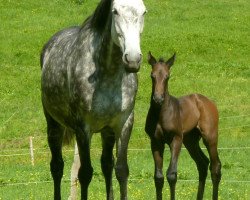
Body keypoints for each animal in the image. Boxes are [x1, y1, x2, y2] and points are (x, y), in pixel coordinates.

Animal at [40, 0, 146, 200]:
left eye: (144, 12)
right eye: (115, 11)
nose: (133, 59)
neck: (108, 73)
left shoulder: (124, 123)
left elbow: (121, 170)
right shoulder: (83, 129)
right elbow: (85, 173)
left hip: (107, 131)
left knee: (107, 165)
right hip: (54, 125)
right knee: (57, 167)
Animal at [146, 52, 222, 200]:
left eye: (167, 76)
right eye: (152, 75)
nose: (158, 99)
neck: (161, 114)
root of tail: (208, 102)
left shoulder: (176, 139)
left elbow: (171, 174)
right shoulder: (155, 141)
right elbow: (158, 177)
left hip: (210, 137)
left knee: (215, 167)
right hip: (190, 141)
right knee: (203, 164)